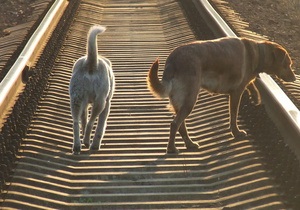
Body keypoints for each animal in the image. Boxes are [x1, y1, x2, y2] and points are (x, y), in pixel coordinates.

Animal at [147, 37, 296, 153]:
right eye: (287, 64)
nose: (295, 78)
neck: (258, 54)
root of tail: (172, 61)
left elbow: (251, 85)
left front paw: (255, 95)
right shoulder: (236, 93)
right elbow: (233, 115)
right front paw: (236, 132)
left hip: (181, 101)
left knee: (180, 124)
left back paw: (189, 144)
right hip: (190, 99)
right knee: (174, 123)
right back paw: (172, 148)